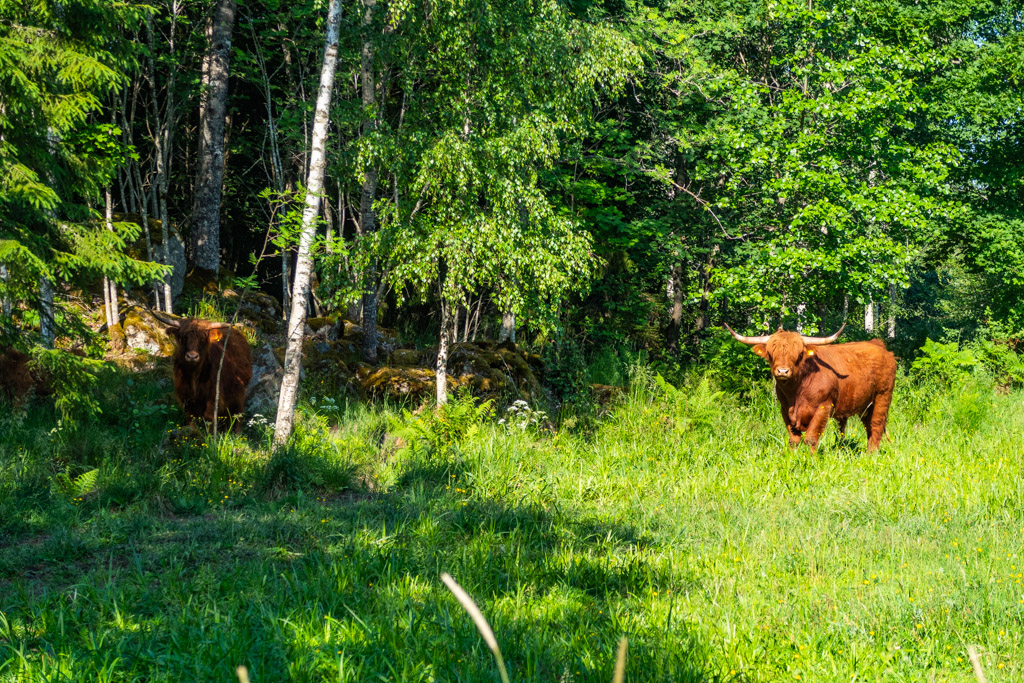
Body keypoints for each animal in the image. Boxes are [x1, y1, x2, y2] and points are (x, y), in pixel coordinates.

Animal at [729, 323, 897, 450]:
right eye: (771, 354)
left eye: (798, 355)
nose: (782, 371)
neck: (795, 393)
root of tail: (878, 344)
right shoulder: (785, 410)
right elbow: (794, 439)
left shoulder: (823, 408)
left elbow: (810, 438)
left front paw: (812, 461)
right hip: (865, 404)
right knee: (869, 427)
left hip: (883, 396)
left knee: (876, 426)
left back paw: (871, 456)